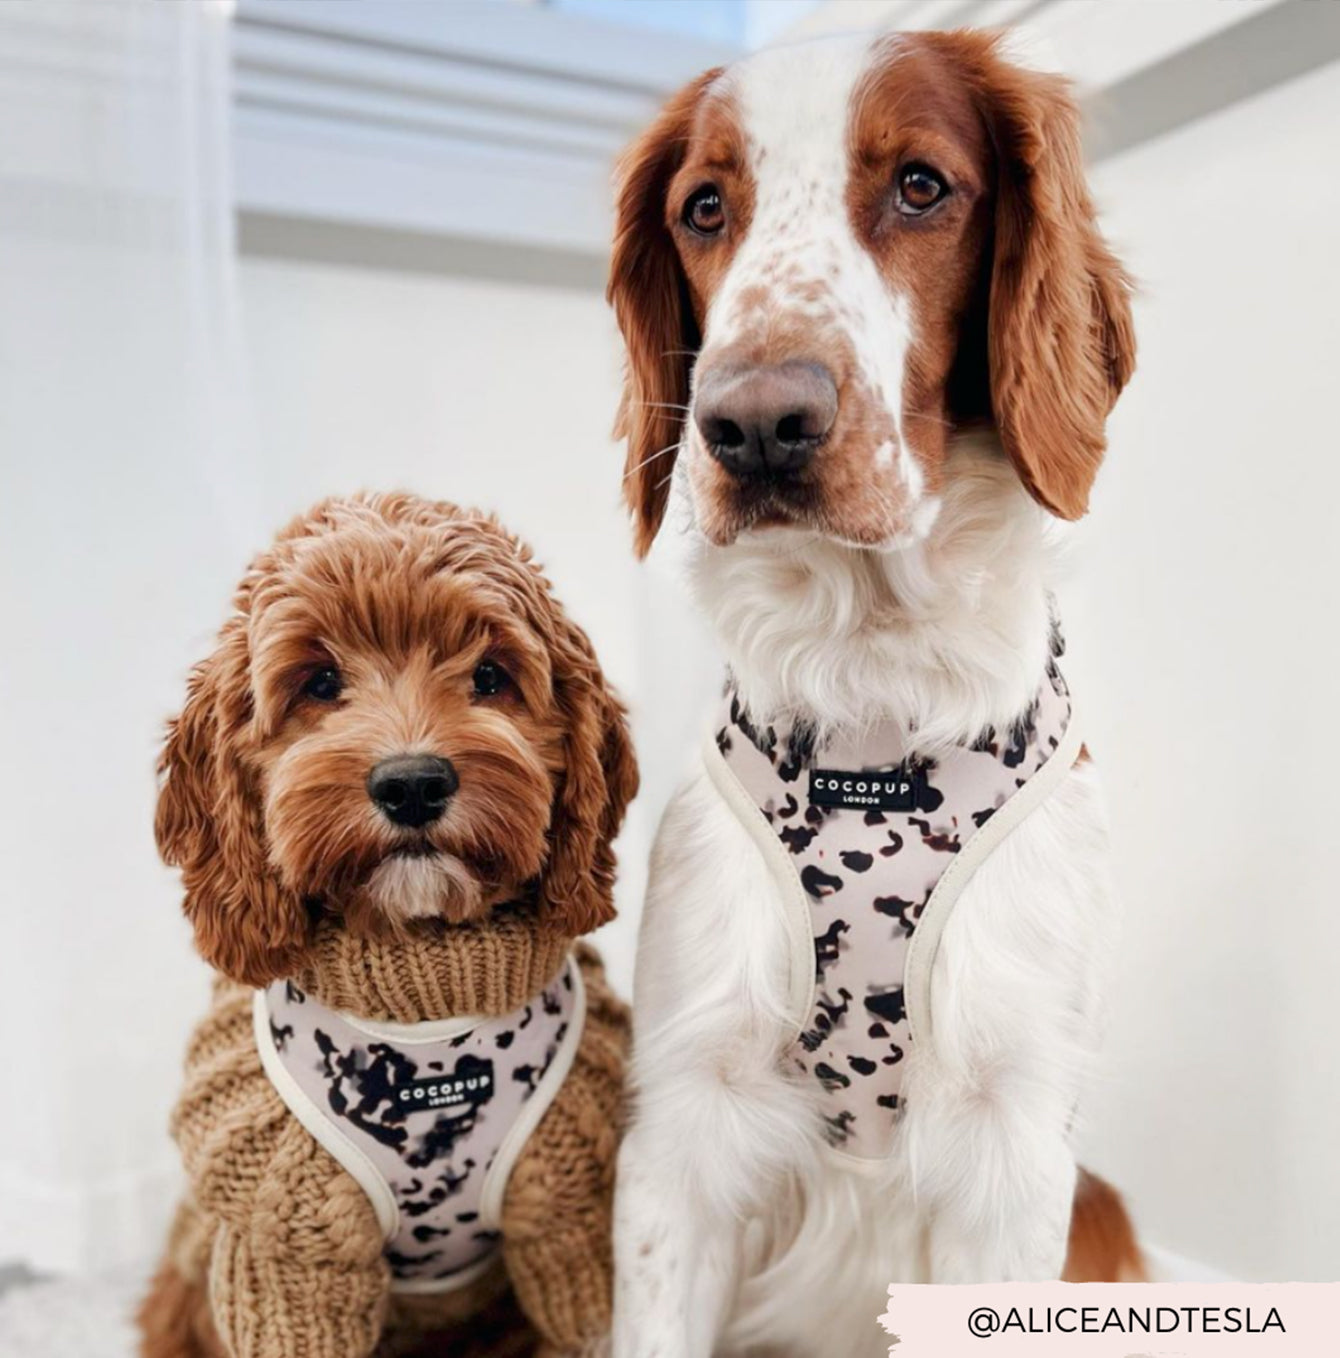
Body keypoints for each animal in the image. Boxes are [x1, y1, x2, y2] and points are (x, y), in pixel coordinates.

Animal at [138, 495, 638, 1358]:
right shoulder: (288, 1249)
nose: (412, 784)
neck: (421, 1001)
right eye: (320, 681)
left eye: (490, 676)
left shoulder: (569, 1211)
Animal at [606, 29, 1140, 1357]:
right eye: (704, 207)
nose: (756, 424)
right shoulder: (684, 1129)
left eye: (918, 186)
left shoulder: (1013, 1141)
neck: (870, 692)